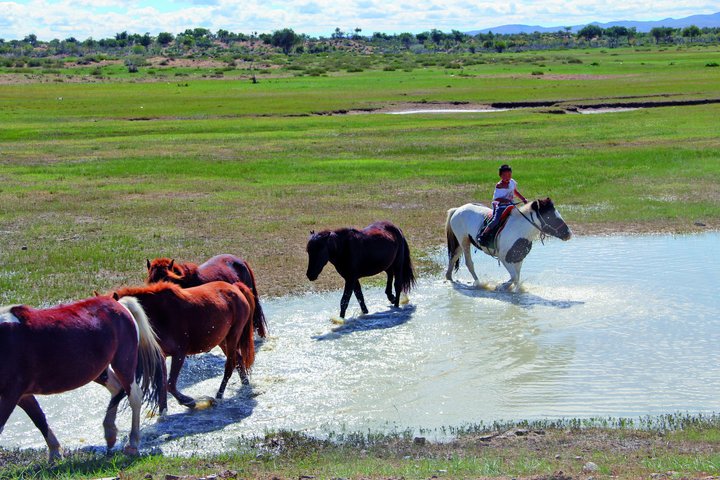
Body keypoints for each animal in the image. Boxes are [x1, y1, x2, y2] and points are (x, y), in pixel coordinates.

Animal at [0, 296, 163, 462]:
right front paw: (55, 454)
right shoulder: (22, 395)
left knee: (134, 396)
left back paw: (132, 444)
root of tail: (119, 304)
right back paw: (110, 433)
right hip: (98, 372)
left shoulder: (11, 394)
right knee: (117, 389)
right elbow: (39, 419)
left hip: (123, 364)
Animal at [112, 282, 256, 412]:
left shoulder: (179, 354)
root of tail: (235, 287)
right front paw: (163, 413)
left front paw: (188, 401)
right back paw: (245, 385)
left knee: (230, 366)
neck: (160, 314)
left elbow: (170, 385)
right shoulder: (162, 356)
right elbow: (163, 385)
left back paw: (219, 396)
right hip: (222, 340)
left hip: (233, 336)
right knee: (238, 359)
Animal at [444, 198, 572, 290]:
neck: (520, 230)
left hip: (461, 243)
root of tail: (457, 209)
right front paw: (501, 286)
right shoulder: (504, 258)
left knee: (453, 257)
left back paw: (449, 277)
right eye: (549, 216)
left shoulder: (518, 258)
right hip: (464, 241)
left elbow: (517, 278)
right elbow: (514, 277)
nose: (568, 234)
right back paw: (479, 283)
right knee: (469, 263)